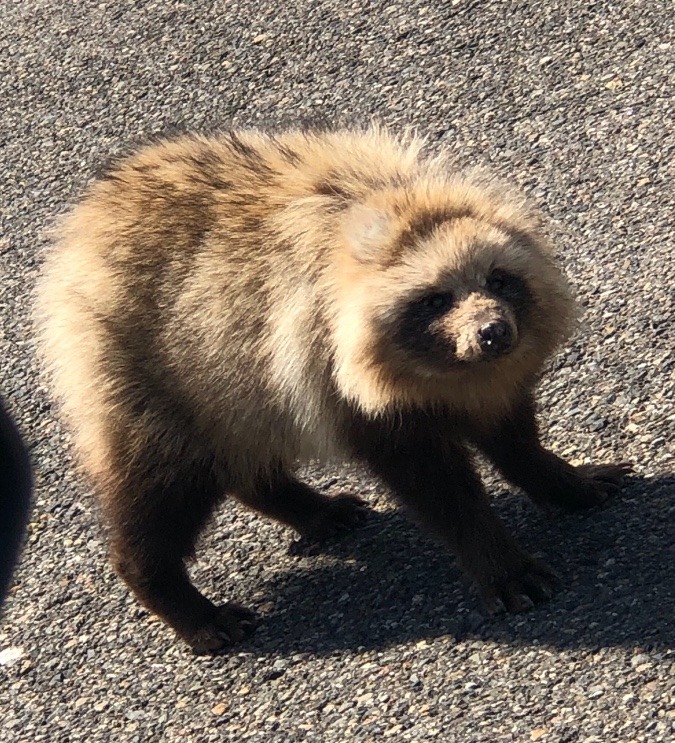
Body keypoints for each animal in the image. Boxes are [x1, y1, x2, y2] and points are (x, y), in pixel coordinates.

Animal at [35, 131, 628, 652]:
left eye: (499, 279)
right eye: (436, 299)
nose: (493, 332)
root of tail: (79, 233)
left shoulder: (488, 379)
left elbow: (512, 433)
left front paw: (559, 476)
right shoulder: (337, 373)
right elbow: (439, 487)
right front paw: (500, 561)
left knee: (245, 453)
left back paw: (303, 504)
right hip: (148, 371)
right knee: (163, 487)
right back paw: (173, 593)